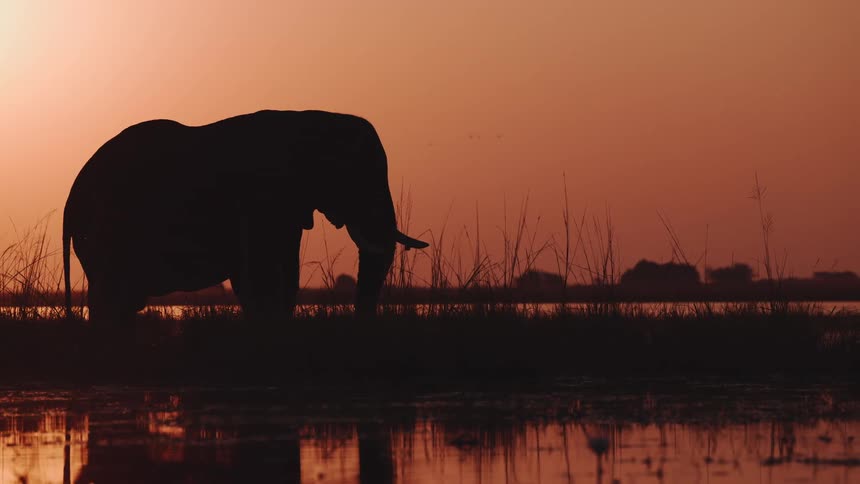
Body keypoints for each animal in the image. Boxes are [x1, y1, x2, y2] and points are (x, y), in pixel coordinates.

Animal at [62, 110, 428, 323]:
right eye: (355, 176)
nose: (361, 323)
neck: (310, 120)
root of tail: (71, 197)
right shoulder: (262, 197)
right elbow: (260, 271)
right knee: (112, 298)